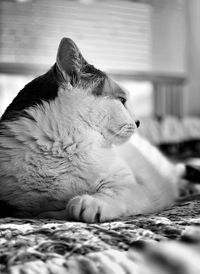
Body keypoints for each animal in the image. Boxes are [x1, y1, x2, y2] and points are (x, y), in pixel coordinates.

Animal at [0, 38, 185, 223]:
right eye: (122, 100)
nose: (138, 122)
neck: (61, 147)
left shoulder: (135, 187)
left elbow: (112, 192)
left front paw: (89, 203)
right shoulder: (18, 206)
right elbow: (44, 210)